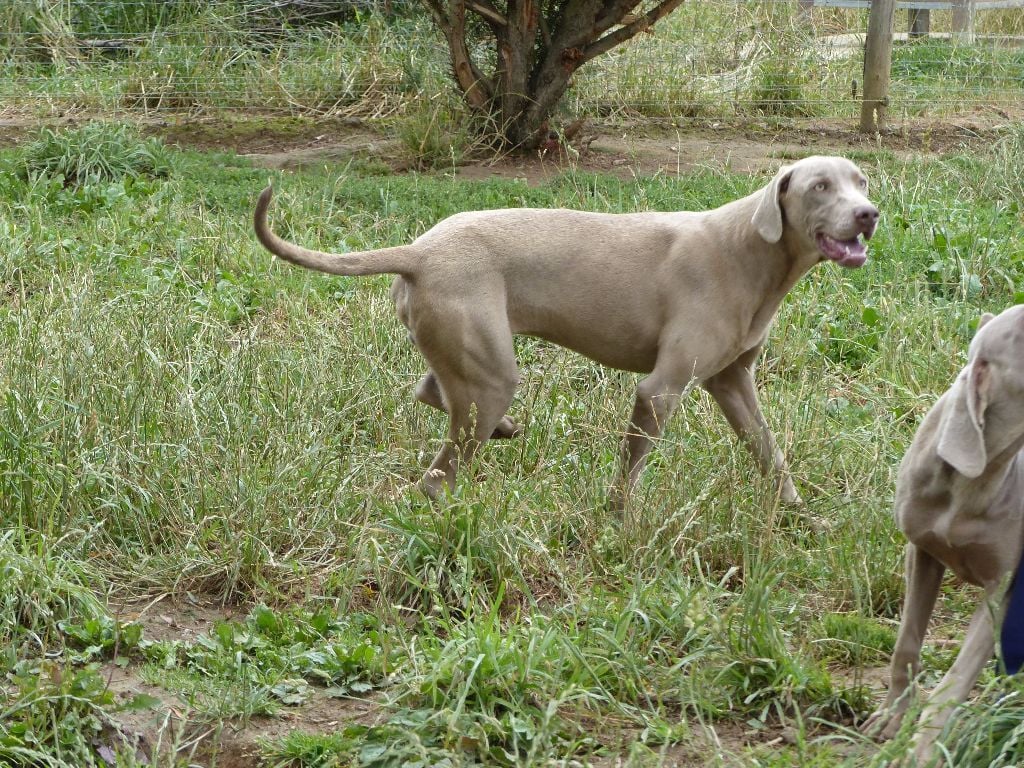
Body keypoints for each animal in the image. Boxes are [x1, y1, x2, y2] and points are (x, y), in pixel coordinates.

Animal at [251, 156, 876, 505]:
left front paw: (797, 512)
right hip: (490, 370)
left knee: (431, 390)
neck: (755, 253)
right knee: (437, 475)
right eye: (819, 186)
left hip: (468, 356)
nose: (869, 214)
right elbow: (631, 473)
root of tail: (420, 251)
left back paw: (502, 430)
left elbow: (770, 451)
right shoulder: (661, 389)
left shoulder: (732, 381)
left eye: (862, 181)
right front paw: (620, 522)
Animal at [868, 305, 1024, 765]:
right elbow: (906, 643)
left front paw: (921, 747)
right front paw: (891, 717)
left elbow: (956, 677)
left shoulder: (1003, 588)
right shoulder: (921, 549)